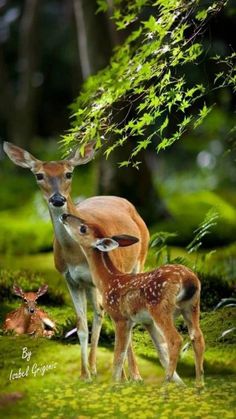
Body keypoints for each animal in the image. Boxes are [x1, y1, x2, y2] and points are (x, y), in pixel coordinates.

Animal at [3, 141, 149, 380]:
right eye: (39, 175)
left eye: (68, 173)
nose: (57, 199)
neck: (75, 253)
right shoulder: (70, 279)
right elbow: (81, 326)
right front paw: (85, 375)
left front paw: (130, 376)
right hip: (90, 284)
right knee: (98, 312)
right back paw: (96, 368)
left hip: (139, 260)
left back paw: (132, 374)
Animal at [60, 213, 205, 388]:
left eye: (83, 228)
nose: (64, 215)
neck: (108, 280)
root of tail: (189, 280)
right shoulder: (144, 321)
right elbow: (158, 350)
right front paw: (180, 384)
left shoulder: (120, 317)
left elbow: (118, 355)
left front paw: (114, 385)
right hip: (192, 306)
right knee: (197, 337)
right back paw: (199, 385)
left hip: (160, 308)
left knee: (175, 339)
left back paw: (165, 385)